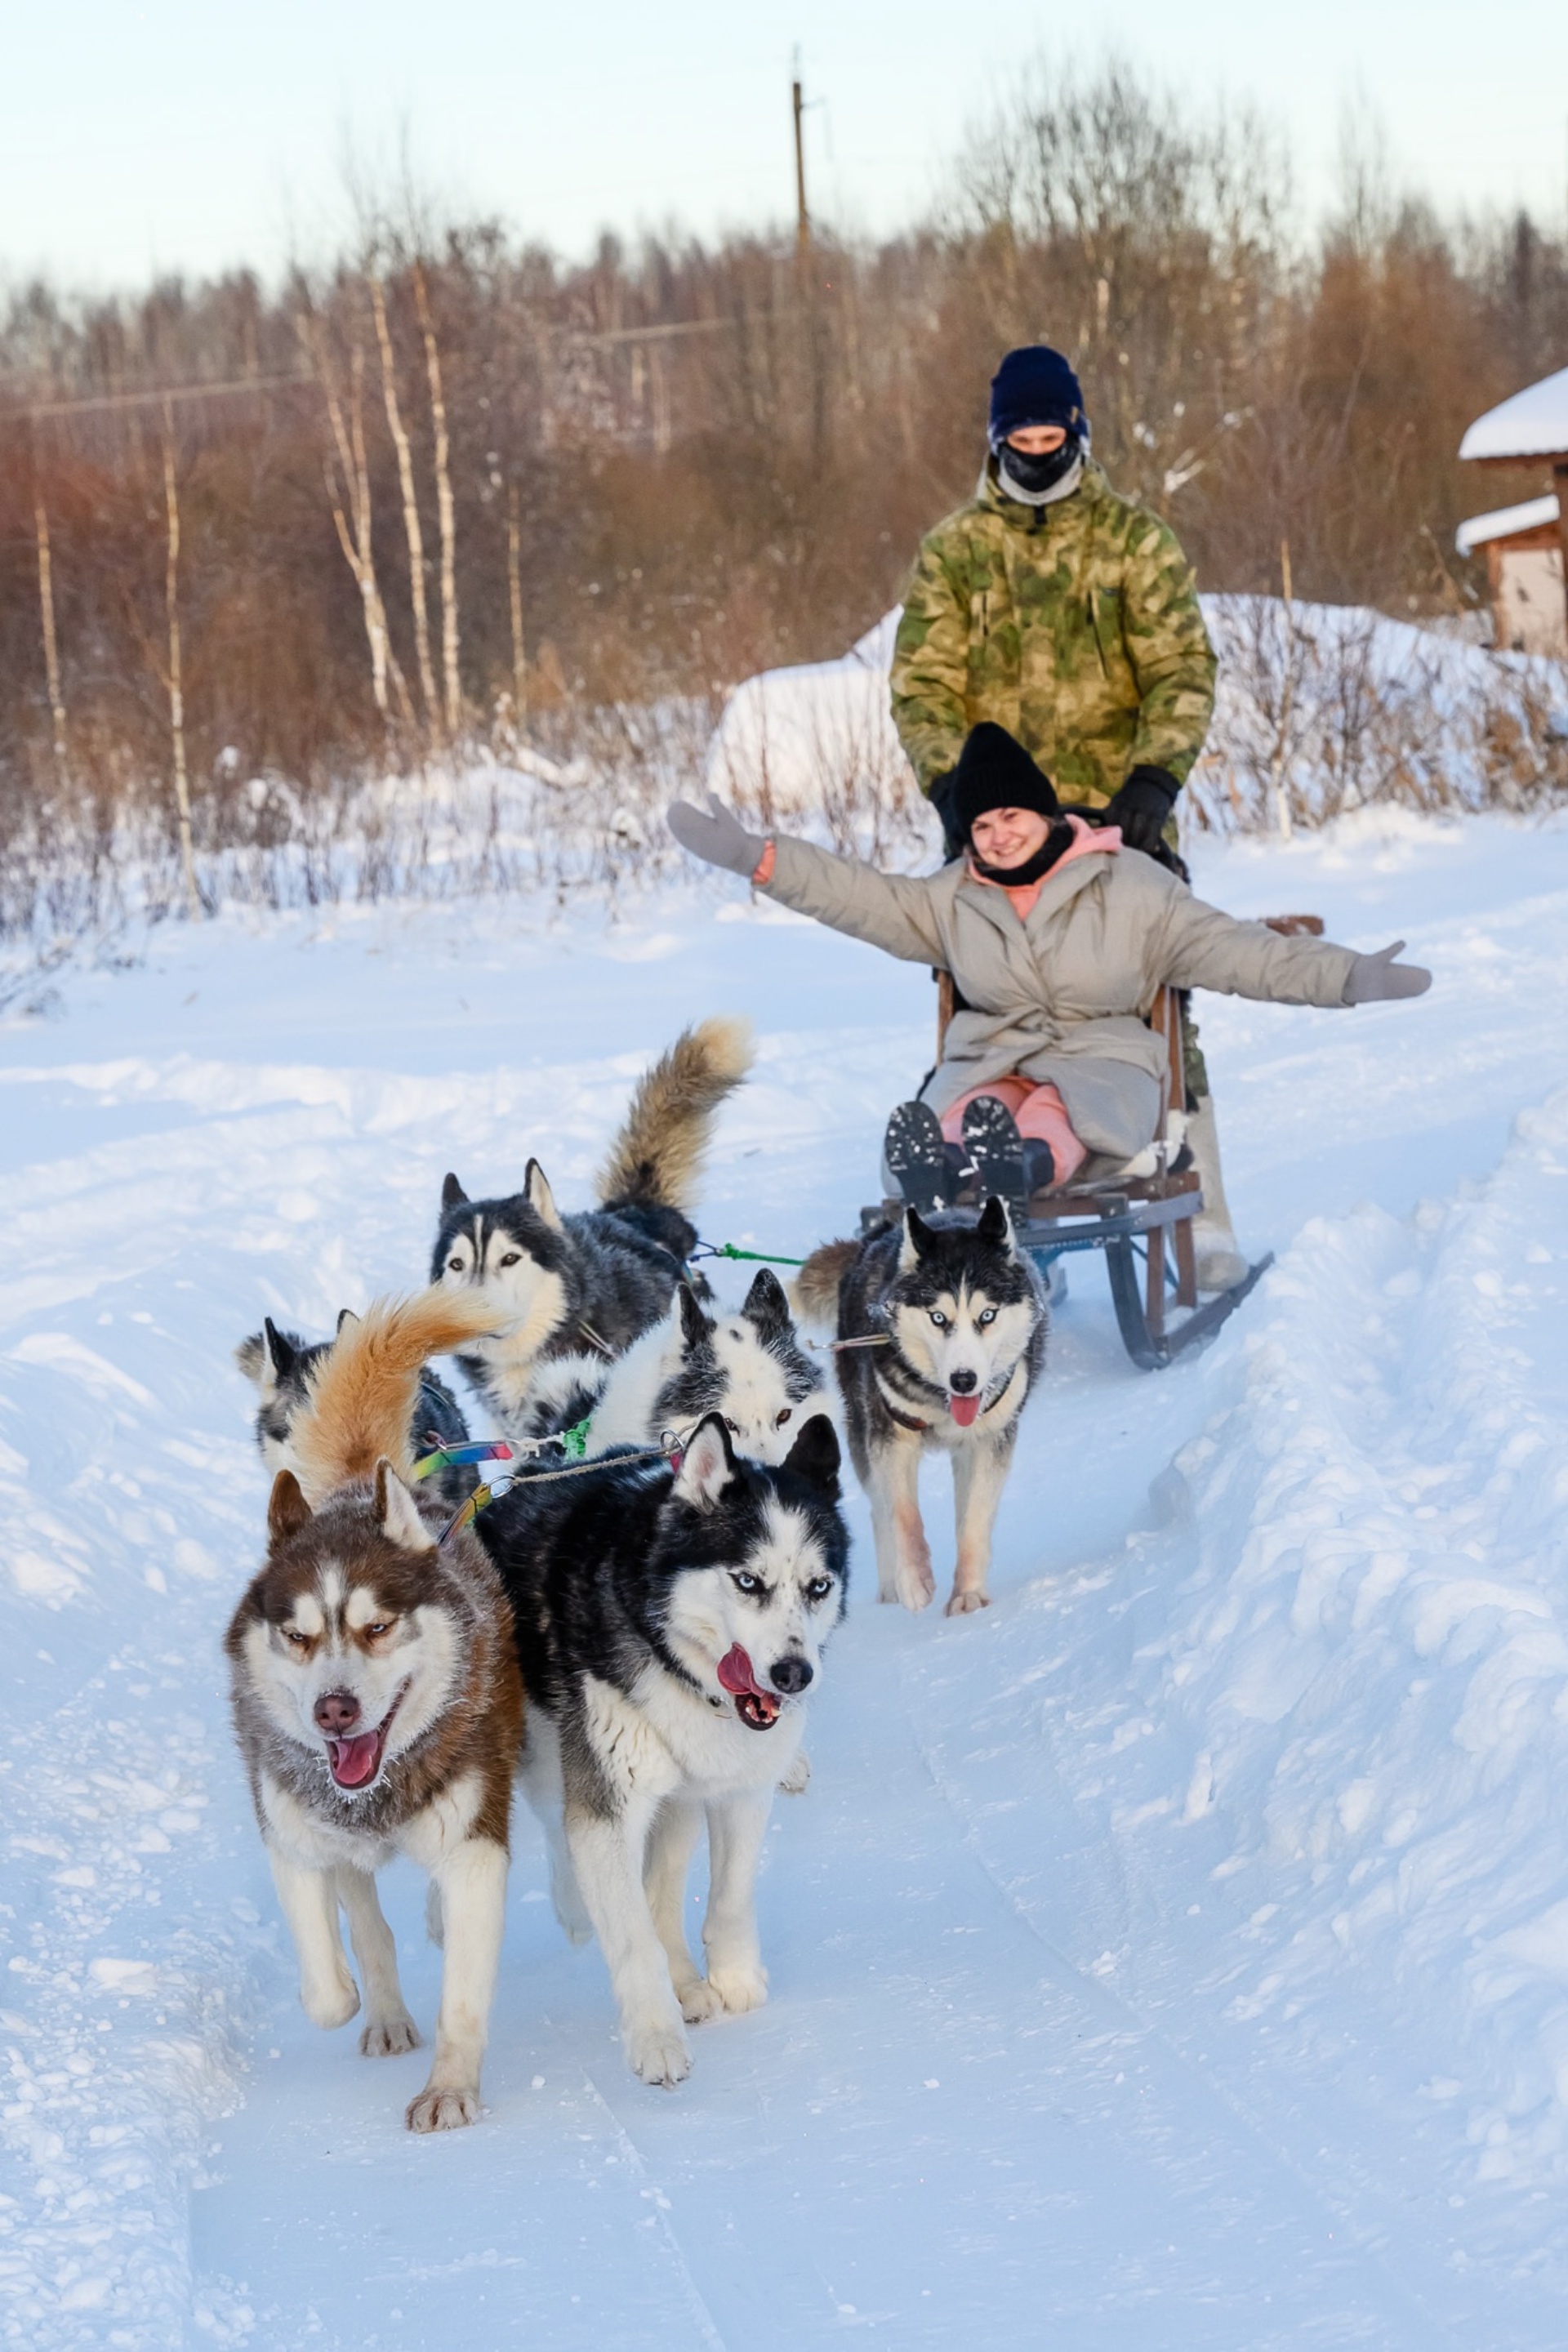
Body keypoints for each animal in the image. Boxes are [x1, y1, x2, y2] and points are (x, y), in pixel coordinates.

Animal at [223, 1289, 523, 2136]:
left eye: (378, 1627)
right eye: (297, 1636)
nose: (334, 1711)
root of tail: (360, 1485)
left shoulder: (474, 1847)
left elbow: (463, 1992)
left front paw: (449, 2088)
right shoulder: (292, 1833)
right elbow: (329, 1982)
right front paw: (352, 1994)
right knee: (363, 1915)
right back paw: (384, 2009)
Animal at [479, 1401, 846, 2088]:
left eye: (817, 1587)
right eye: (748, 1581)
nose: (794, 1674)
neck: (670, 1652)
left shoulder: (739, 1786)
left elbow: (728, 1892)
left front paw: (733, 1975)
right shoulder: (606, 1806)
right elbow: (631, 1934)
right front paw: (655, 2038)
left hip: (673, 1793)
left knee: (661, 1881)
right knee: (553, 1822)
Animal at [804, 1195, 1048, 1618]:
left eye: (987, 1315)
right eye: (938, 1318)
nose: (964, 1380)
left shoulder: (991, 1442)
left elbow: (974, 1522)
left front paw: (968, 1593)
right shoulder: (891, 1438)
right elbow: (903, 1513)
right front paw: (915, 1580)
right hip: (861, 1432)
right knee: (880, 1509)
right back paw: (890, 1588)